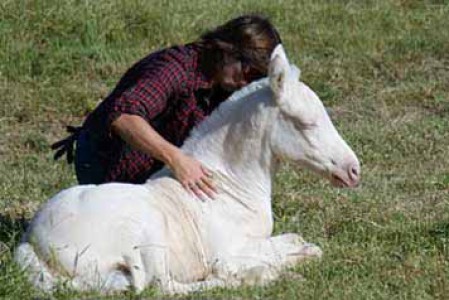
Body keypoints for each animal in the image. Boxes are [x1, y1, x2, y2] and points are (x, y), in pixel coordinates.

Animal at [14, 45, 360, 296]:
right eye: (307, 123)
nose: (353, 169)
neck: (227, 187)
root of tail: (31, 242)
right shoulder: (229, 252)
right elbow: (265, 255)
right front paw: (273, 269)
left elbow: (304, 244)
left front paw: (298, 256)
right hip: (147, 237)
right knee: (159, 287)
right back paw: (257, 277)